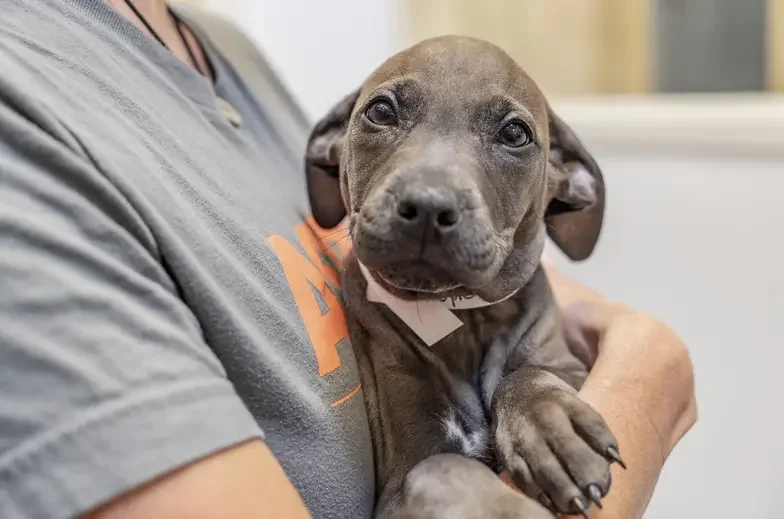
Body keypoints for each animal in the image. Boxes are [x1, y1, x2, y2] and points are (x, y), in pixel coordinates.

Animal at [304, 34, 620, 516]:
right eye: (381, 112)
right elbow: (442, 469)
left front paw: (551, 425)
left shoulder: (576, 367)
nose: (428, 206)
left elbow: (527, 374)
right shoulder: (399, 480)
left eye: (514, 134)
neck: (462, 316)